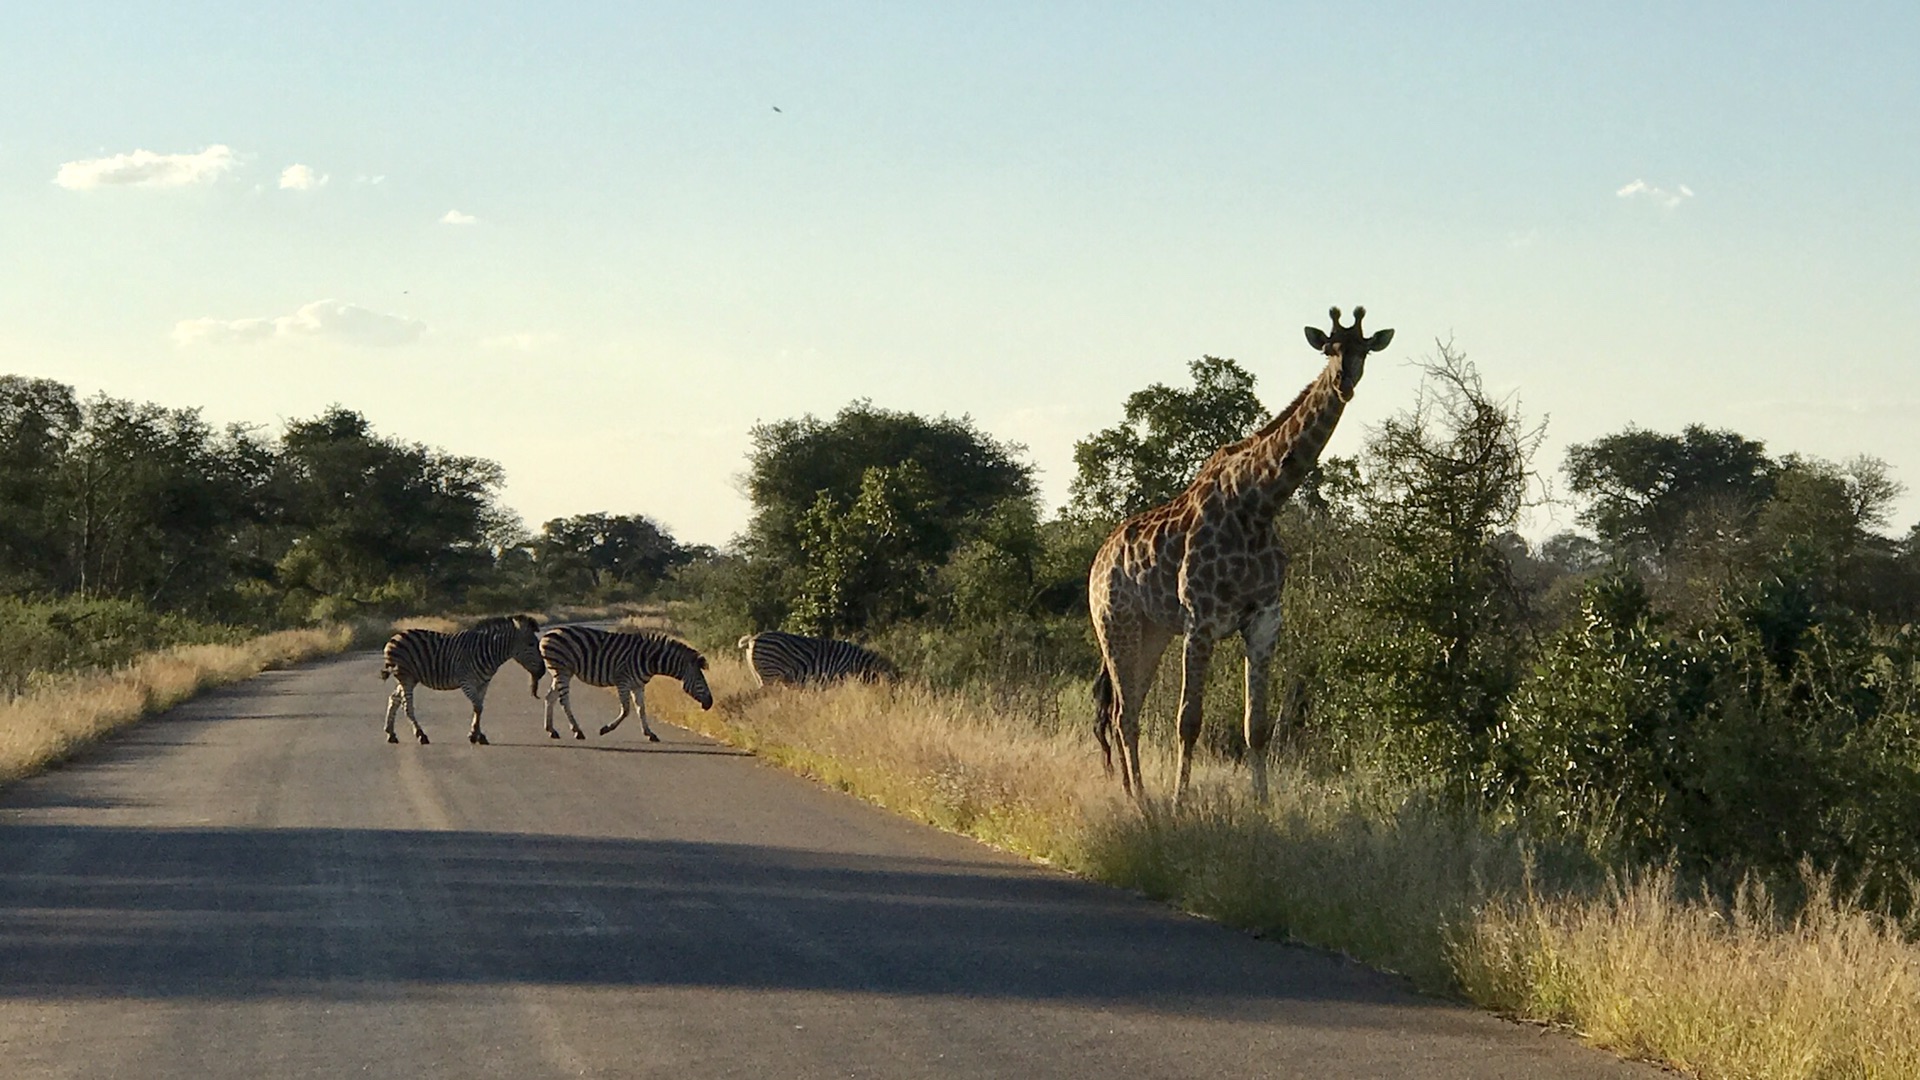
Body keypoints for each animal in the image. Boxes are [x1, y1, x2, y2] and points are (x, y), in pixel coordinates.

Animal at [376, 614, 545, 737]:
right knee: (407, 705)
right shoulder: (466, 681)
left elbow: (479, 707)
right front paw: (475, 735)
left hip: (410, 678)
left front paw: (477, 733)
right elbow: (477, 706)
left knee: (394, 699)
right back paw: (420, 734)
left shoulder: (484, 683)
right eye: (531, 644)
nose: (542, 671)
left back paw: (391, 733)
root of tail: (394, 637)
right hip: (406, 676)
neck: (487, 651)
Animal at [537, 622, 718, 737]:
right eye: (700, 680)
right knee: (563, 700)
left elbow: (641, 709)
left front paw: (650, 733)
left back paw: (551, 730)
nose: (710, 703)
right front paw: (606, 729)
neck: (650, 660)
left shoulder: (638, 685)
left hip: (561, 672)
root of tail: (547, 634)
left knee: (550, 697)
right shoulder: (623, 681)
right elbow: (626, 710)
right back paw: (577, 731)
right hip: (562, 670)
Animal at [1090, 299, 1390, 799]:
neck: (1259, 502)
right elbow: (1188, 721)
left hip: (1153, 632)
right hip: (1116, 625)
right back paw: (1144, 802)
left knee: (1122, 710)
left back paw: (1136, 795)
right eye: (1328, 348)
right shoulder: (1201, 620)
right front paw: (1180, 802)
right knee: (1123, 712)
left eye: (1363, 348)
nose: (1344, 381)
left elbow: (1258, 726)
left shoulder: (1264, 620)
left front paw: (1262, 805)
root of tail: (1098, 560)